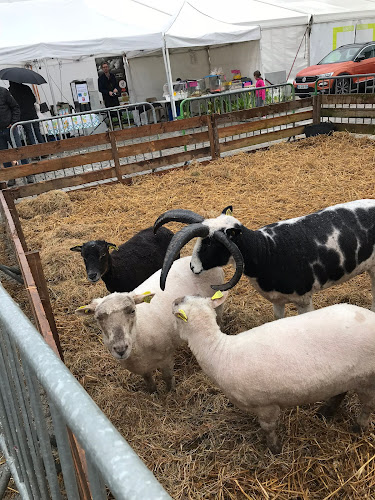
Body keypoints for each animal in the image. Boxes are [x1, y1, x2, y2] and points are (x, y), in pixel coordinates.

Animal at [75, 256, 225, 392]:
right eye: (98, 318)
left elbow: (168, 378)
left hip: (218, 307)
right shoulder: (142, 368)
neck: (139, 336)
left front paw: (170, 394)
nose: (120, 349)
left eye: (132, 310)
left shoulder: (166, 358)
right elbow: (148, 381)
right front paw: (153, 392)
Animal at [174, 294, 375, 456]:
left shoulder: (266, 405)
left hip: (368, 379)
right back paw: (325, 413)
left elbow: (268, 428)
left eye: (175, 310)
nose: (176, 299)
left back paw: (358, 428)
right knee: (341, 392)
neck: (220, 351)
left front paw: (275, 449)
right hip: (345, 376)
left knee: (367, 407)